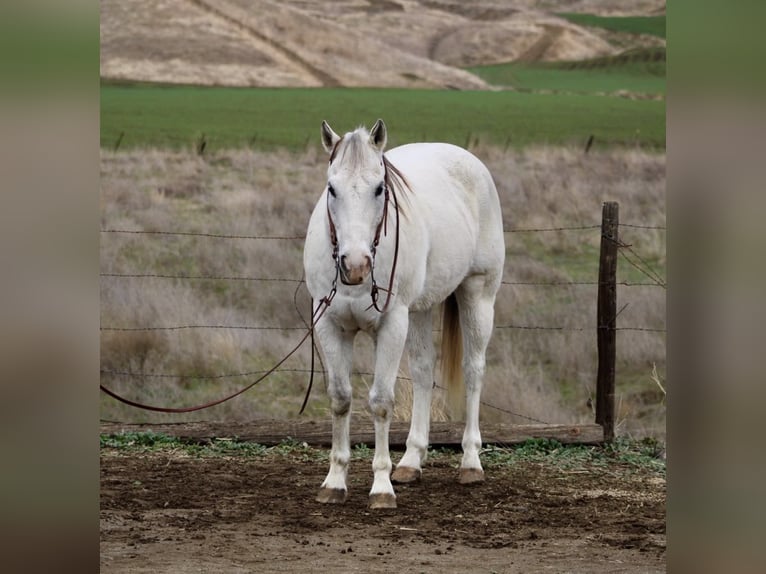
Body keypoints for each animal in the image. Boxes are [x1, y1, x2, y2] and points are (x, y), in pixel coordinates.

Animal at [303, 119, 505, 509]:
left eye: (379, 188)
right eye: (331, 188)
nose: (355, 265)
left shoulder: (391, 325)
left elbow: (381, 402)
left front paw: (381, 487)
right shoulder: (329, 326)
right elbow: (340, 399)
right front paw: (334, 481)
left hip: (477, 296)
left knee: (474, 372)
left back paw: (471, 462)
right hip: (421, 310)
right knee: (424, 372)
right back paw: (412, 460)